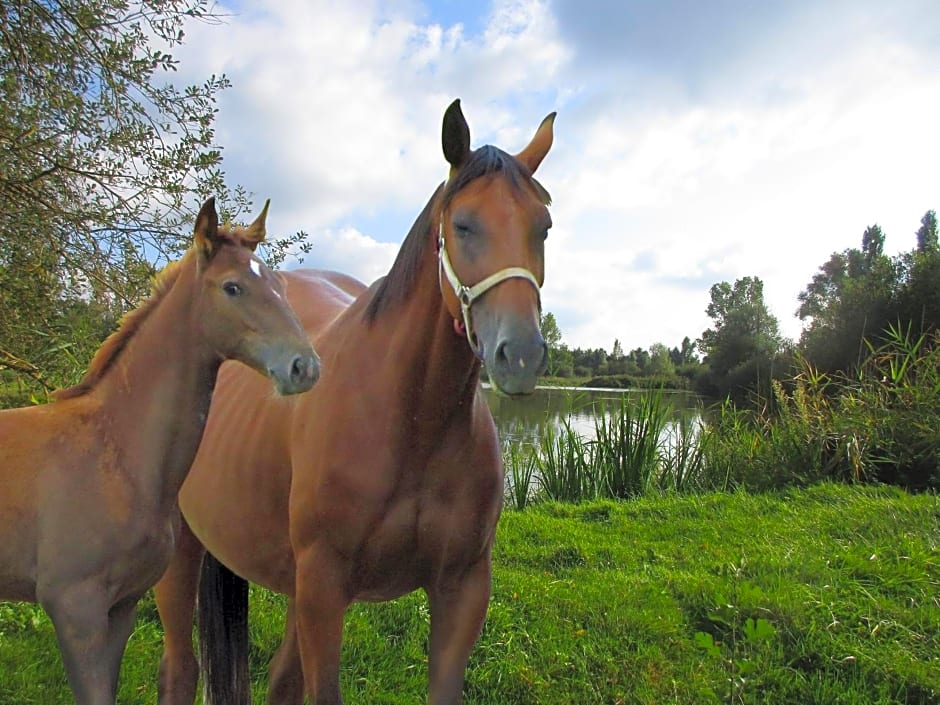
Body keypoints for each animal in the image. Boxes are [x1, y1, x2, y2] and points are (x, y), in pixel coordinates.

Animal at [0, 198, 320, 704]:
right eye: (232, 287)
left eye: (280, 285)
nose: (304, 367)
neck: (114, 452)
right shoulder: (74, 610)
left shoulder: (122, 608)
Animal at [152, 100, 552, 704]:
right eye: (462, 224)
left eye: (543, 227)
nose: (521, 354)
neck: (412, 422)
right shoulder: (324, 588)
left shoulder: (462, 590)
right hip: (183, 557)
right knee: (180, 669)